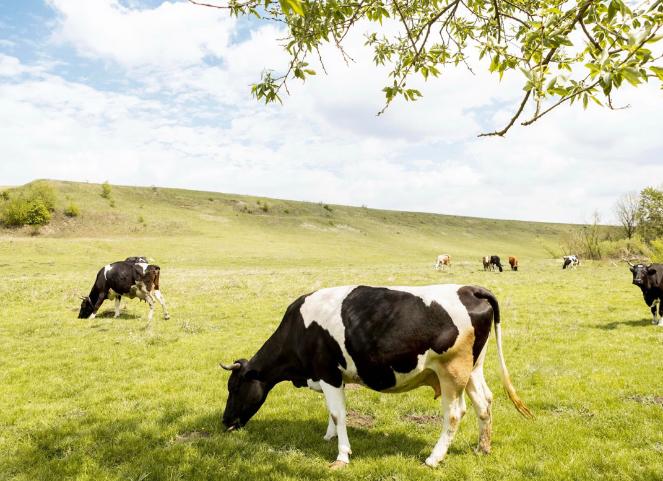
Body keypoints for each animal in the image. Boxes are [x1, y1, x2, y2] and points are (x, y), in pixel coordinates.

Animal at [220, 284, 532, 466]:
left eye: (234, 387)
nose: (225, 421)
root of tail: (470, 289)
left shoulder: (327, 373)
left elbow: (338, 414)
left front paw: (342, 455)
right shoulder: (330, 376)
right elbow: (331, 413)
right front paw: (329, 436)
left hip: (452, 372)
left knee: (455, 413)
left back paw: (433, 458)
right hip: (473, 369)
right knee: (484, 403)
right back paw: (483, 448)